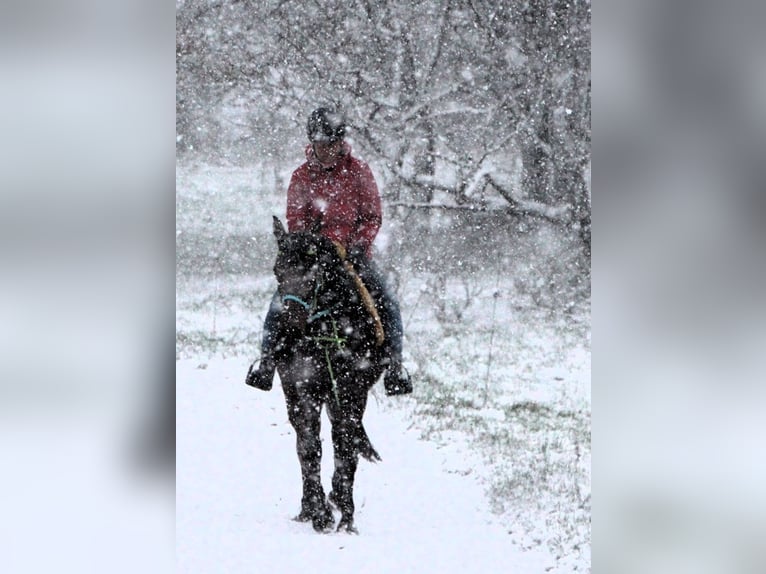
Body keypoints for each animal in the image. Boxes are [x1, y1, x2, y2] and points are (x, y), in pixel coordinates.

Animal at [266, 217, 388, 536]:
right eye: (277, 271)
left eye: (313, 274)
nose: (289, 328)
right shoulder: (302, 390)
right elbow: (309, 448)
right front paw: (319, 513)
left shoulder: (351, 392)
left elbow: (345, 446)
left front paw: (346, 516)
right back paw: (309, 507)